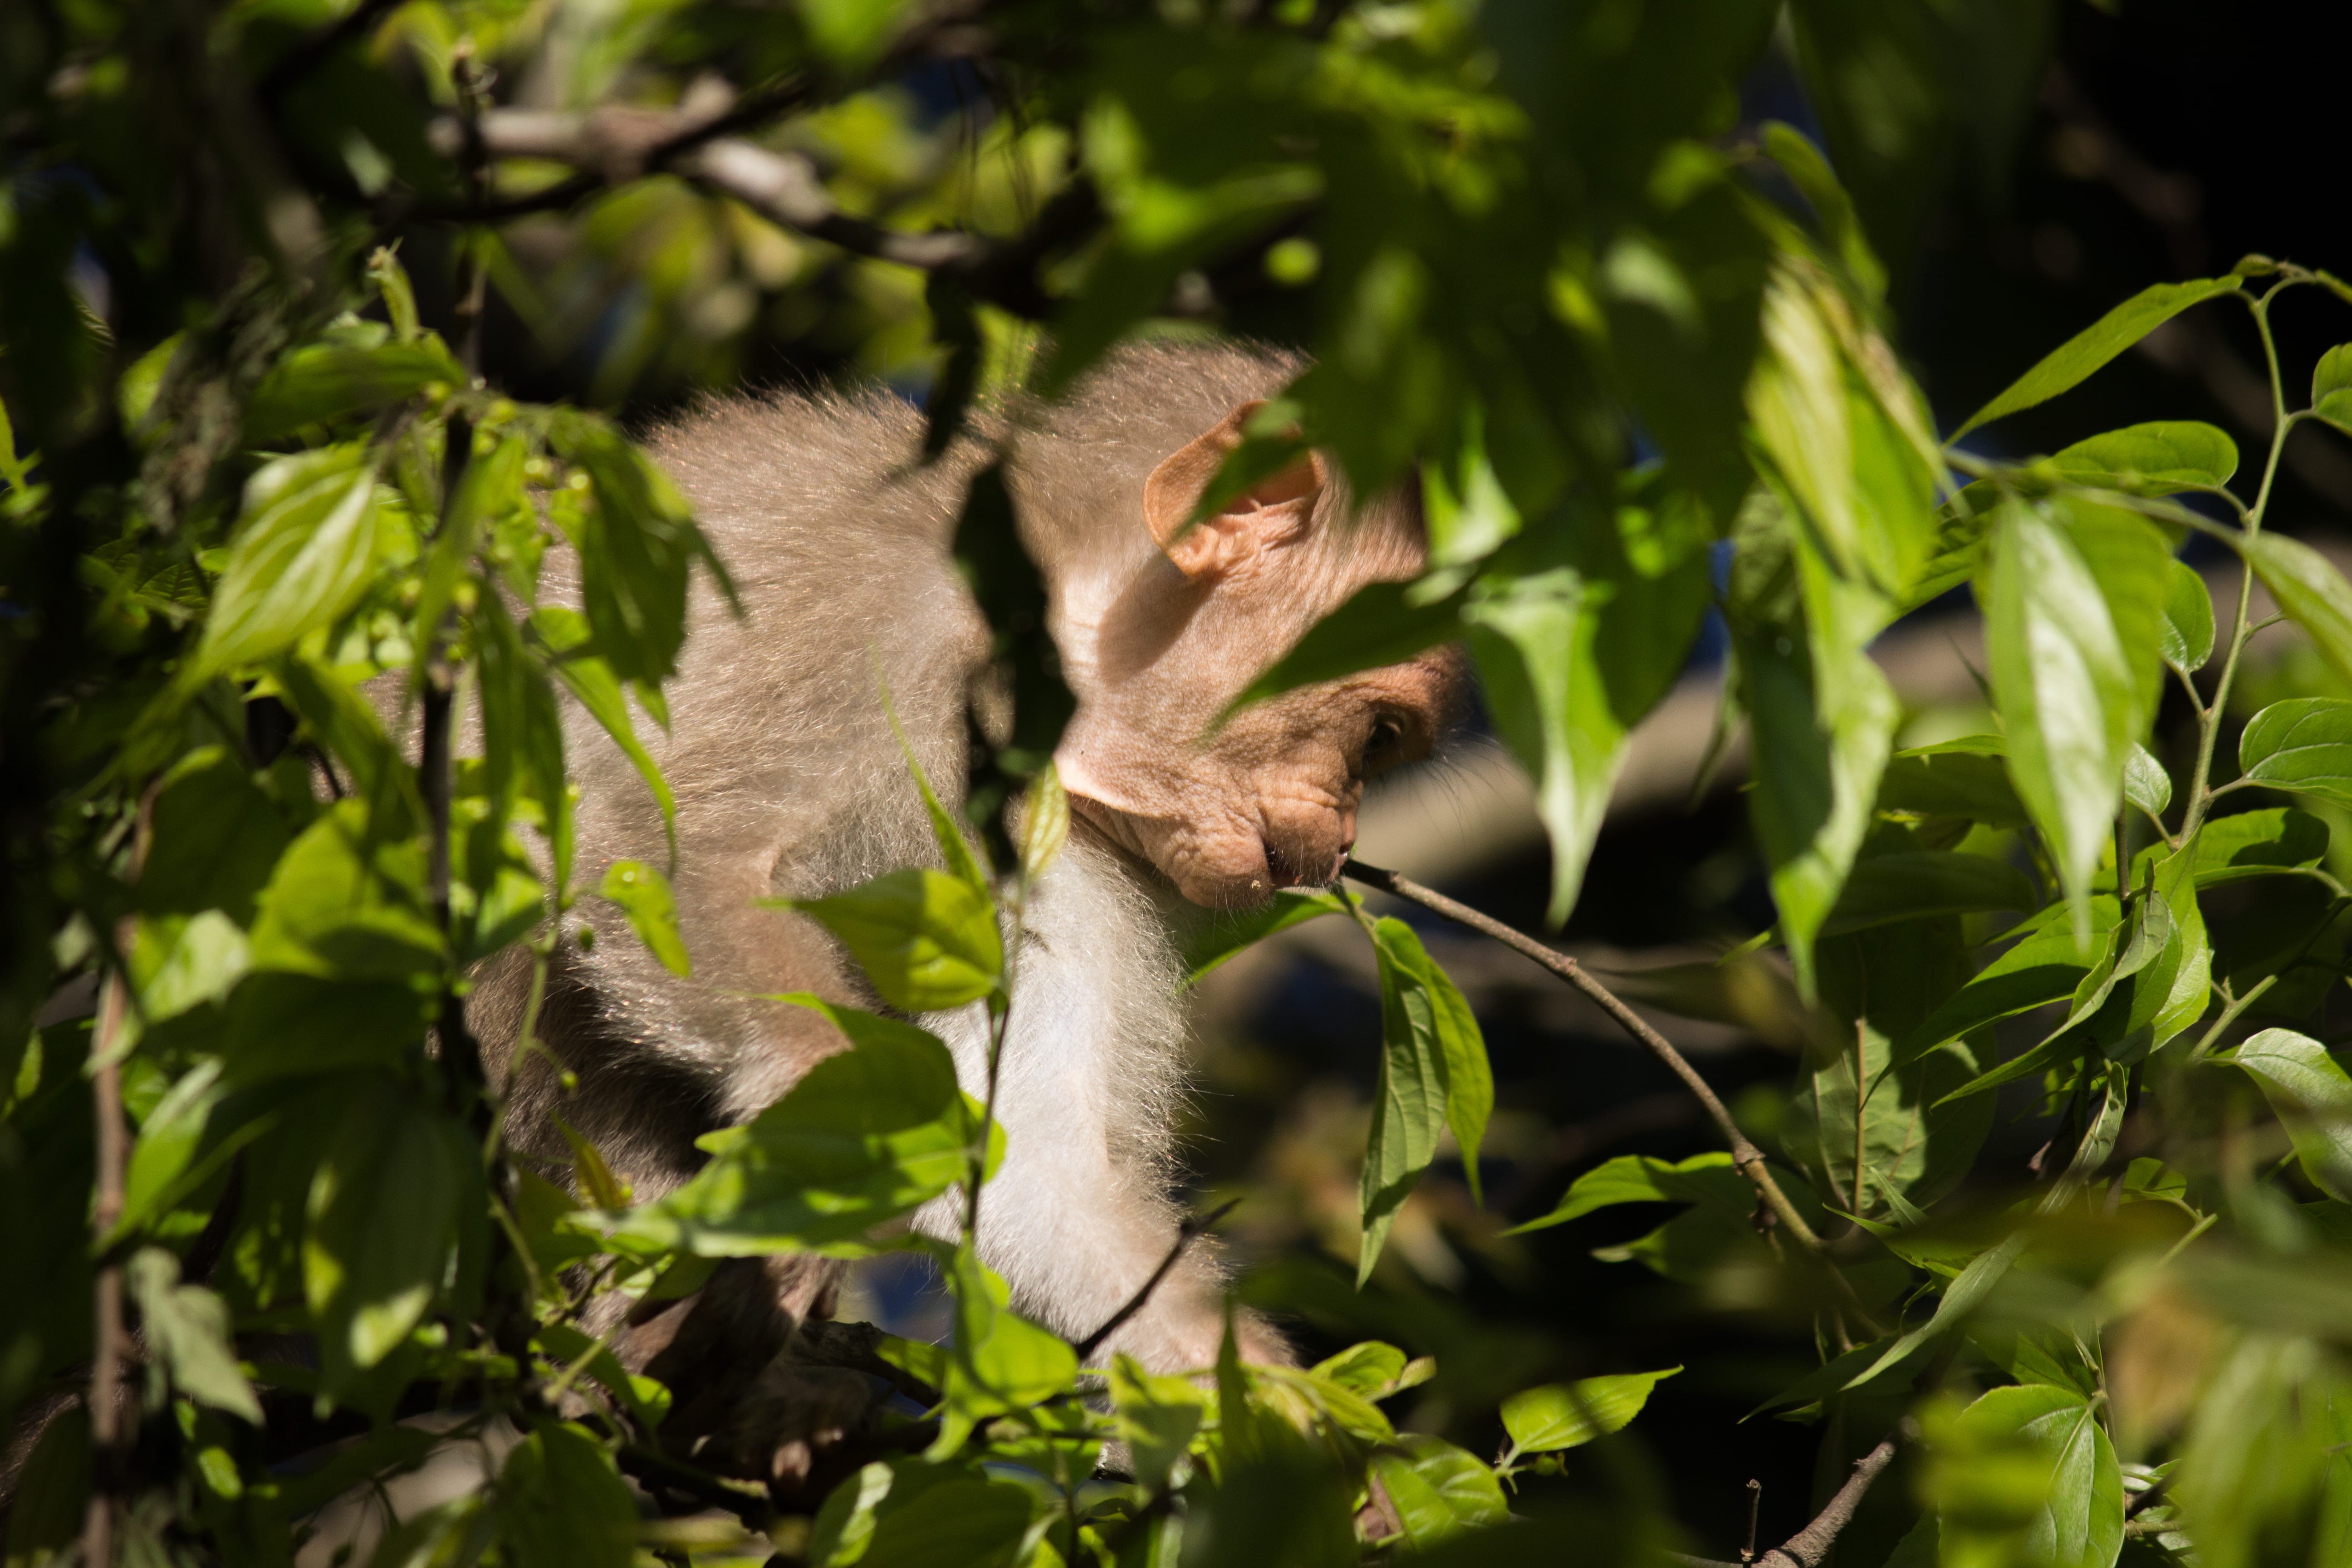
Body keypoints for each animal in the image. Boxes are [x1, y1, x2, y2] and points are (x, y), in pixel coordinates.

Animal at [468, 339, 1465, 1477]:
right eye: (1376, 735)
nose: (1341, 839)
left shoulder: (1059, 844)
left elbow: (1033, 1169)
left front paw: (1293, 1436)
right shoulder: (859, 622)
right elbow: (650, 849)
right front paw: (813, 1148)